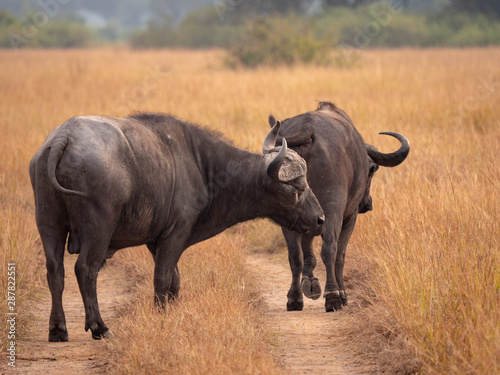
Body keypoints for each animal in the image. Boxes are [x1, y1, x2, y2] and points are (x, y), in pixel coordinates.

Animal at [29, 113, 324, 342]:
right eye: (297, 187)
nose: (320, 219)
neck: (202, 164)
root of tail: (63, 137)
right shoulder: (176, 233)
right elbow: (162, 277)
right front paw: (160, 314)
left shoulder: (156, 241)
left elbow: (174, 279)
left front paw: (171, 308)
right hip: (98, 229)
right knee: (85, 270)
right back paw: (99, 327)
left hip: (48, 224)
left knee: (55, 272)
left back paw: (58, 329)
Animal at [270, 101, 410, 312]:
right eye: (372, 169)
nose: (367, 204)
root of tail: (308, 129)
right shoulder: (350, 217)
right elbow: (340, 255)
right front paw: (342, 294)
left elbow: (306, 252)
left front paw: (310, 283)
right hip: (333, 207)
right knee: (330, 248)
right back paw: (333, 296)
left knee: (294, 254)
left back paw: (294, 299)